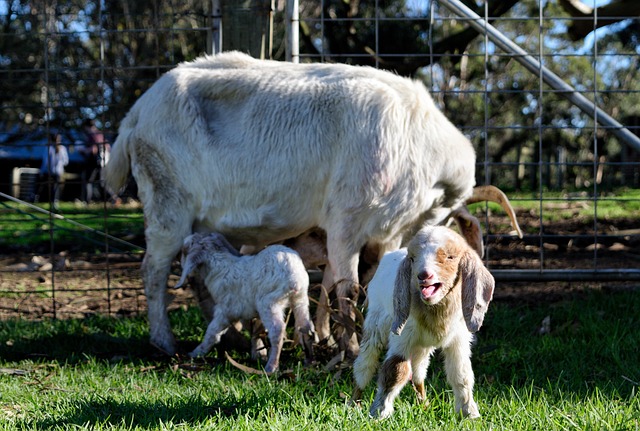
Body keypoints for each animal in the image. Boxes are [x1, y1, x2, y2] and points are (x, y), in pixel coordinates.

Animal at [102, 50, 516, 356]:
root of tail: (135, 115)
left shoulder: (389, 233)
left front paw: (338, 339)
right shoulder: (347, 220)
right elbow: (348, 289)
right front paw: (349, 348)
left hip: (206, 222)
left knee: (199, 275)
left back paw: (231, 337)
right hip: (166, 201)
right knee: (154, 270)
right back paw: (164, 341)